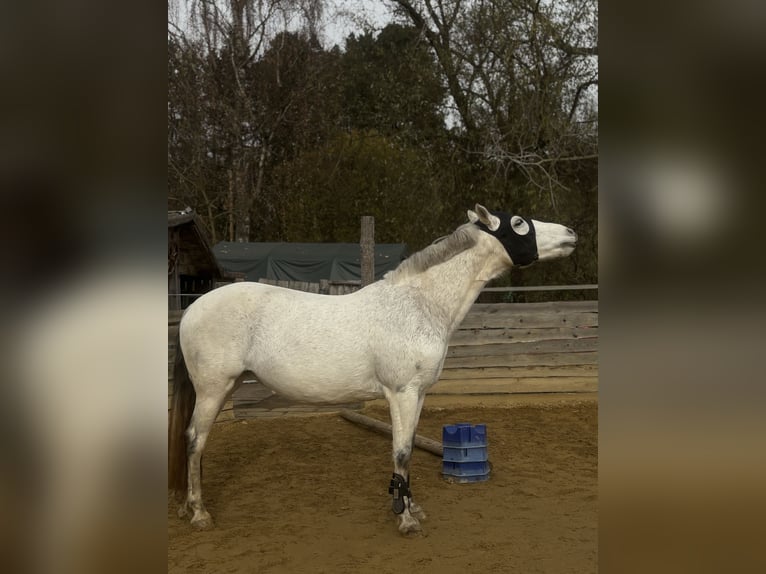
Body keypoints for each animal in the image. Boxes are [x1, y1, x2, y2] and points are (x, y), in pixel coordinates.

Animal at [168, 204, 577, 534]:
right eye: (519, 223)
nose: (571, 234)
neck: (417, 305)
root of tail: (192, 309)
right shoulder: (402, 393)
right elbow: (401, 452)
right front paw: (405, 520)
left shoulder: (419, 394)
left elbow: (408, 448)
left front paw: (413, 508)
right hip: (213, 389)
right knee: (195, 440)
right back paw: (200, 514)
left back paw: (188, 506)